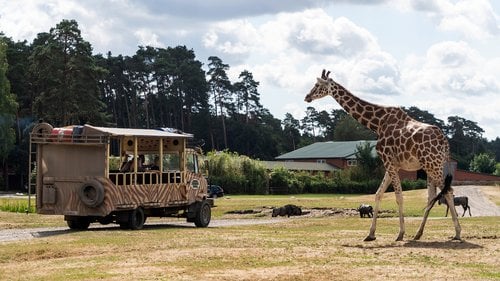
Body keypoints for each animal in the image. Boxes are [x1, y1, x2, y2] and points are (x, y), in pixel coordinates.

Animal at [304, 70, 460, 241]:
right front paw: (370, 234)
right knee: (433, 196)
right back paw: (418, 233)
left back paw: (457, 233)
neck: (377, 123)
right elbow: (378, 194)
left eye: (317, 85)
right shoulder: (393, 164)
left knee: (448, 191)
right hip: (431, 166)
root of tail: (445, 141)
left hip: (432, 165)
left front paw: (400, 233)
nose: (307, 97)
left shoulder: (388, 160)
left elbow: (398, 196)